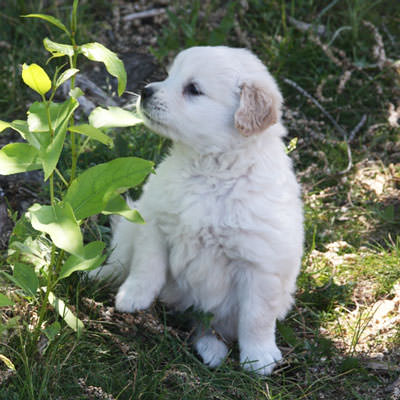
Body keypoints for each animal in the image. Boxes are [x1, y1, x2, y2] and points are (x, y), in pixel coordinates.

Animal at [90, 47, 304, 376]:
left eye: (193, 89)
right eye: (170, 75)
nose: (146, 91)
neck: (209, 168)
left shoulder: (260, 264)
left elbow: (257, 317)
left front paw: (259, 357)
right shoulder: (155, 221)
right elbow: (146, 265)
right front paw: (133, 297)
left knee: (207, 327)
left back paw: (212, 349)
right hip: (131, 226)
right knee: (120, 261)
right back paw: (97, 275)